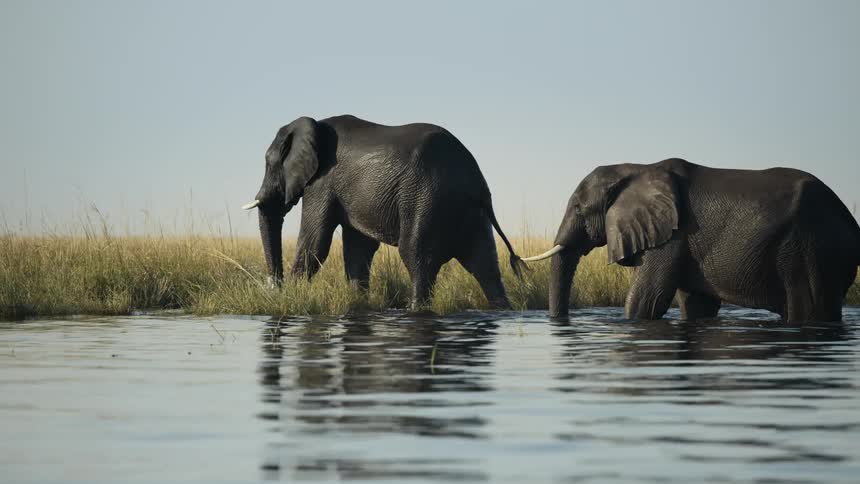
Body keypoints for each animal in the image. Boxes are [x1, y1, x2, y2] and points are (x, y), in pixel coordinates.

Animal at [242, 115, 524, 310]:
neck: (314, 125)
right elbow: (358, 249)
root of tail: (475, 178)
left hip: (426, 197)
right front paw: (358, 304)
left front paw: (292, 299)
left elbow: (315, 242)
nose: (273, 286)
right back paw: (503, 310)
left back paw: (416, 311)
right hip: (470, 211)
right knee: (485, 265)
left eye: (268, 163)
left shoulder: (322, 182)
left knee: (417, 256)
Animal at [524, 158, 860, 323]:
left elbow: (648, 298)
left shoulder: (674, 234)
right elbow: (696, 304)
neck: (636, 169)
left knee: (810, 308)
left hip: (809, 248)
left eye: (579, 209)